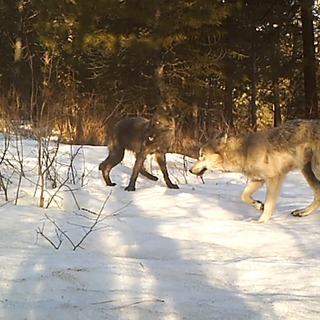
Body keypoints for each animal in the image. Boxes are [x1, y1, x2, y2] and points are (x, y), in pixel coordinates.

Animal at [190, 119, 320, 222]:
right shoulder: (258, 179)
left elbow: (268, 205)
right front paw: (258, 205)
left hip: (314, 169)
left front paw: (260, 223)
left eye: (201, 155)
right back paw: (302, 212)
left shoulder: (273, 178)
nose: (190, 170)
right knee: (318, 193)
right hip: (306, 170)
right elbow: (243, 196)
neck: (244, 152)